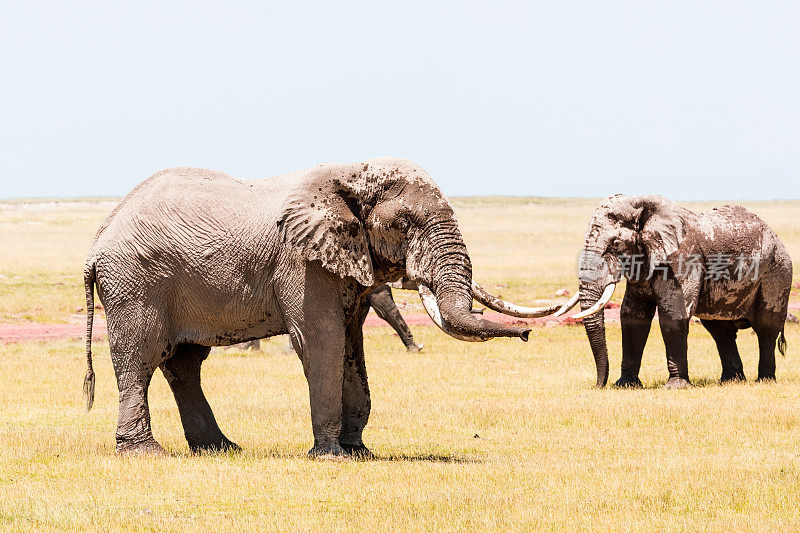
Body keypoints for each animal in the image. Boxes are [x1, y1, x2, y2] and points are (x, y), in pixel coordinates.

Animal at [81, 158, 556, 458]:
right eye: (404, 224)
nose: (528, 334)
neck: (350, 175)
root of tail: (99, 237)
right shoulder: (302, 262)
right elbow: (321, 340)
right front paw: (331, 456)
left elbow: (351, 345)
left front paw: (359, 452)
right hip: (135, 284)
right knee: (139, 359)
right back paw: (144, 453)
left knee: (184, 364)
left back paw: (220, 449)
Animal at [556, 193, 792, 388]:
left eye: (615, 244)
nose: (598, 386)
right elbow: (632, 316)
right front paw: (625, 385)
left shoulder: (683, 259)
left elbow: (672, 315)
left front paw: (675, 386)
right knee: (720, 330)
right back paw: (731, 381)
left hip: (777, 270)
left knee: (766, 326)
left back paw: (764, 381)